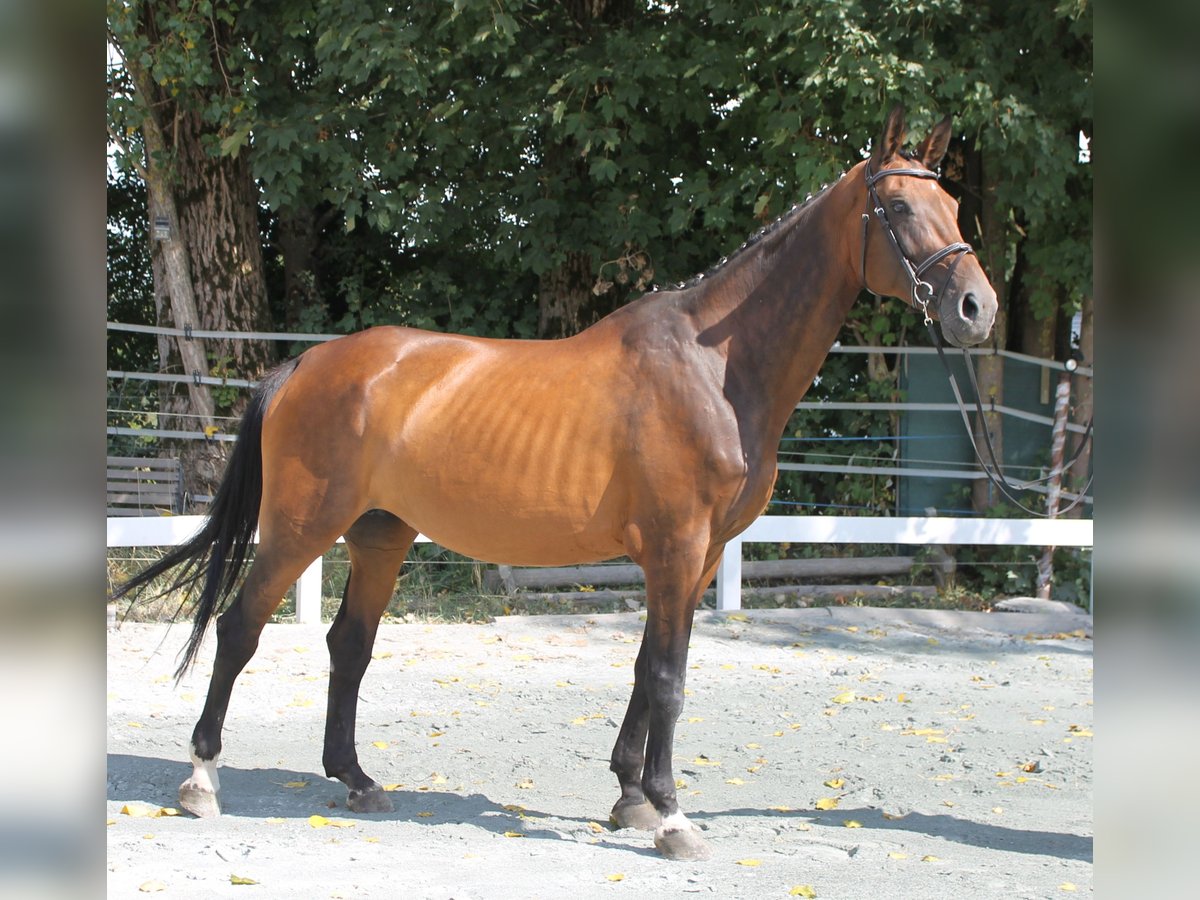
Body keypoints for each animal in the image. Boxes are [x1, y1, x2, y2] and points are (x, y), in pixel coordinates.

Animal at [114, 109, 993, 864]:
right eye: (899, 206)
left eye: (952, 203)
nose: (976, 308)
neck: (713, 366)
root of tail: (306, 363)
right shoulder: (677, 548)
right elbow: (668, 677)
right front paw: (672, 816)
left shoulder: (700, 556)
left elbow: (648, 667)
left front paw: (631, 798)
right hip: (301, 528)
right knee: (239, 630)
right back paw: (202, 780)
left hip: (380, 535)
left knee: (349, 647)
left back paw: (358, 781)